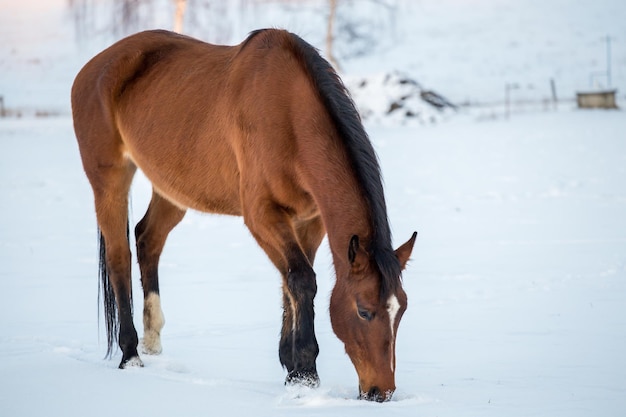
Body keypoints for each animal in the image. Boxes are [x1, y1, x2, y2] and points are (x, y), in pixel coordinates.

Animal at [70, 29, 414, 400]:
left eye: (402, 308)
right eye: (364, 311)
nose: (381, 391)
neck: (290, 116)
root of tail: (92, 68)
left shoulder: (309, 220)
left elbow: (291, 282)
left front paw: (291, 367)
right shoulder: (262, 215)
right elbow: (301, 280)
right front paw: (306, 373)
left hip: (171, 188)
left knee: (148, 239)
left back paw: (152, 340)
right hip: (110, 180)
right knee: (119, 257)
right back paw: (130, 354)